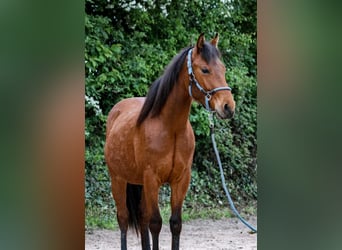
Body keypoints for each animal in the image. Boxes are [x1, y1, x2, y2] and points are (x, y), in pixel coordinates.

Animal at [105, 33, 235, 250]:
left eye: (223, 69)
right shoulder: (152, 179)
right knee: (123, 219)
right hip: (118, 180)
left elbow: (175, 223)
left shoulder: (181, 180)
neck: (170, 128)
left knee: (141, 217)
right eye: (205, 69)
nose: (228, 107)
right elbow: (156, 223)